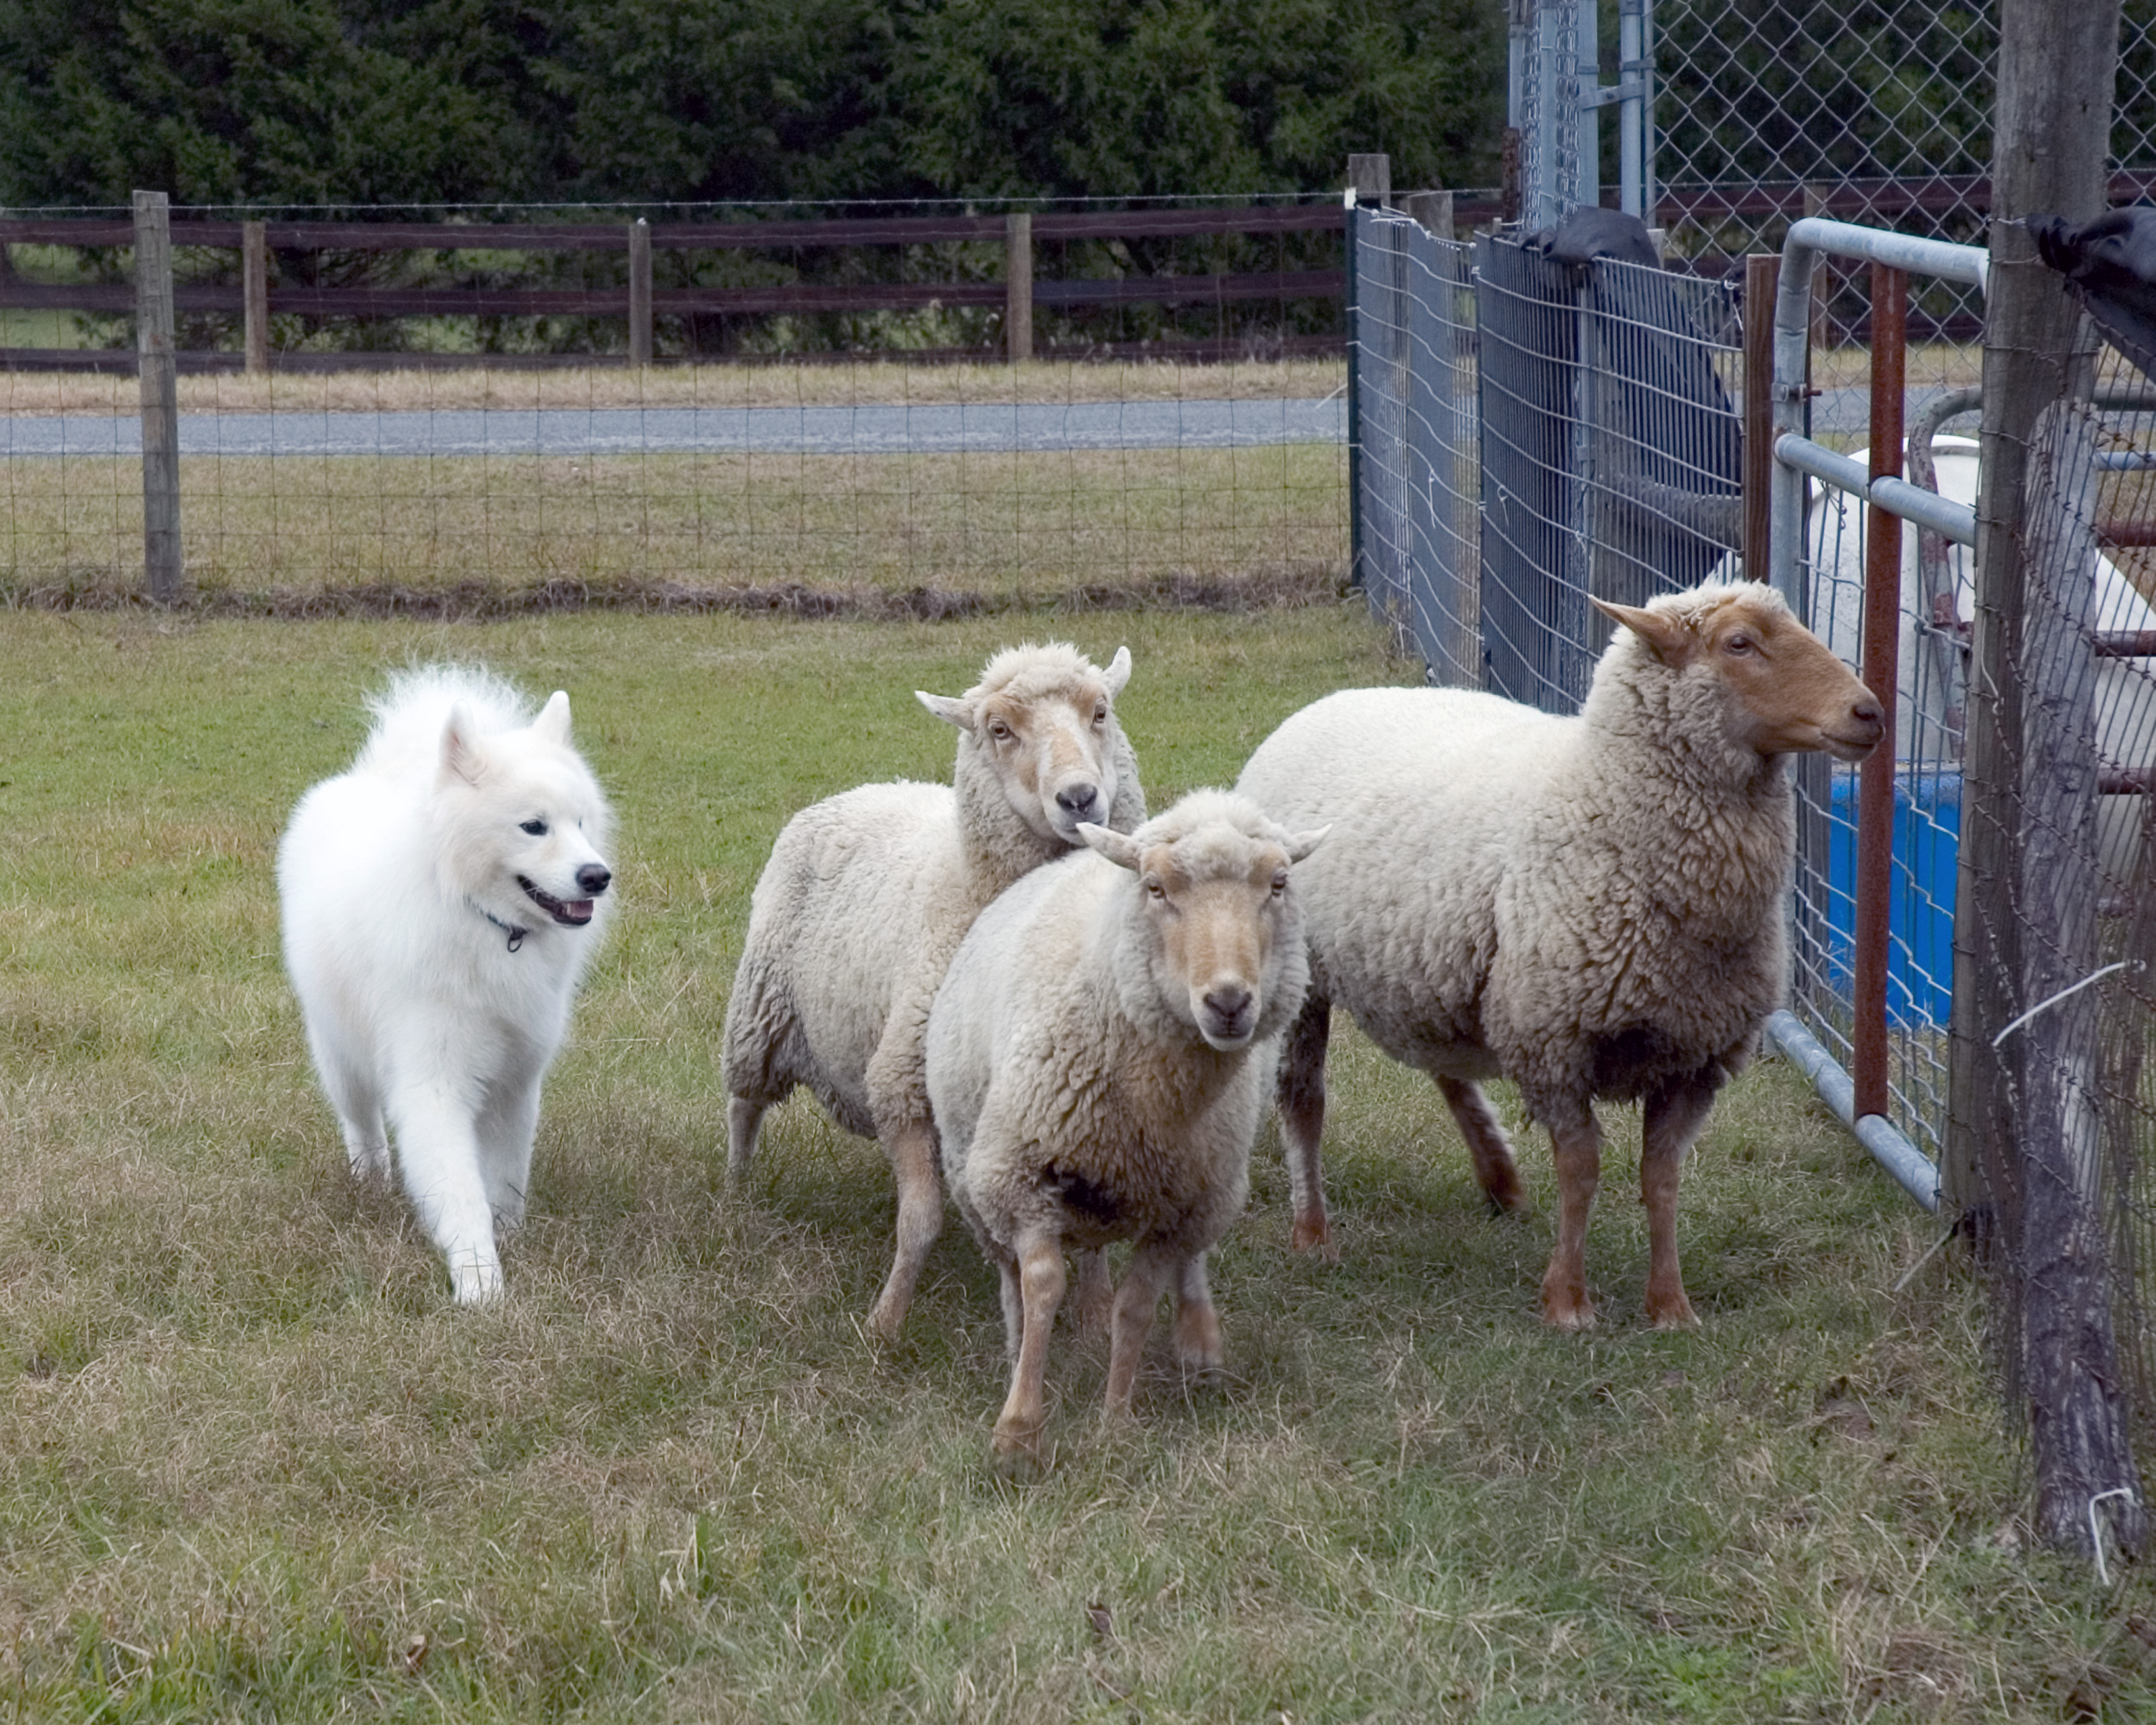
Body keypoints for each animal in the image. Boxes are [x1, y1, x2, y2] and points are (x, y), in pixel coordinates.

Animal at [278, 668, 617, 1302]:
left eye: (581, 823)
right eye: (533, 826)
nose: (597, 876)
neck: (488, 925)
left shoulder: (515, 1079)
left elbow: (504, 1176)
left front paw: (508, 1236)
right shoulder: (433, 1082)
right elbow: (458, 1190)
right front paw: (480, 1281)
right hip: (340, 1057)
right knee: (362, 1126)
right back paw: (370, 1181)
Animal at [720, 638, 1147, 1337]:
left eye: (1101, 711)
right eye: (998, 730)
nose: (1080, 798)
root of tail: (866, 787)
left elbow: (1095, 1241)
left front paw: (1095, 1312)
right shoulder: (901, 1083)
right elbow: (918, 1221)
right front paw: (886, 1322)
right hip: (759, 1009)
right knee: (744, 1105)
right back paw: (737, 1188)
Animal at [918, 789, 1319, 1475]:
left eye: (1279, 883)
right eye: (1156, 888)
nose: (1229, 1002)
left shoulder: (1180, 1211)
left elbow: (1136, 1307)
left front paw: (1115, 1422)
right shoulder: (1021, 1178)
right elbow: (1042, 1285)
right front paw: (1019, 1428)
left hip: (1207, 1187)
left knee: (1183, 1264)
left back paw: (1197, 1341)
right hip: (979, 1173)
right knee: (1013, 1274)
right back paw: (1018, 1341)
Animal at [1242, 586, 1880, 1328]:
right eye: (1739, 644)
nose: (1871, 714)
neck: (1601, 802)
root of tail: (1322, 705)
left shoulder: (1693, 1056)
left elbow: (1663, 1179)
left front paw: (1671, 1306)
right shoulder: (1555, 1039)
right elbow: (1582, 1173)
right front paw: (1568, 1302)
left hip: (1440, 969)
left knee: (1444, 1067)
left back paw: (1500, 1179)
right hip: (1302, 979)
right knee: (1302, 1100)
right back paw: (1312, 1230)